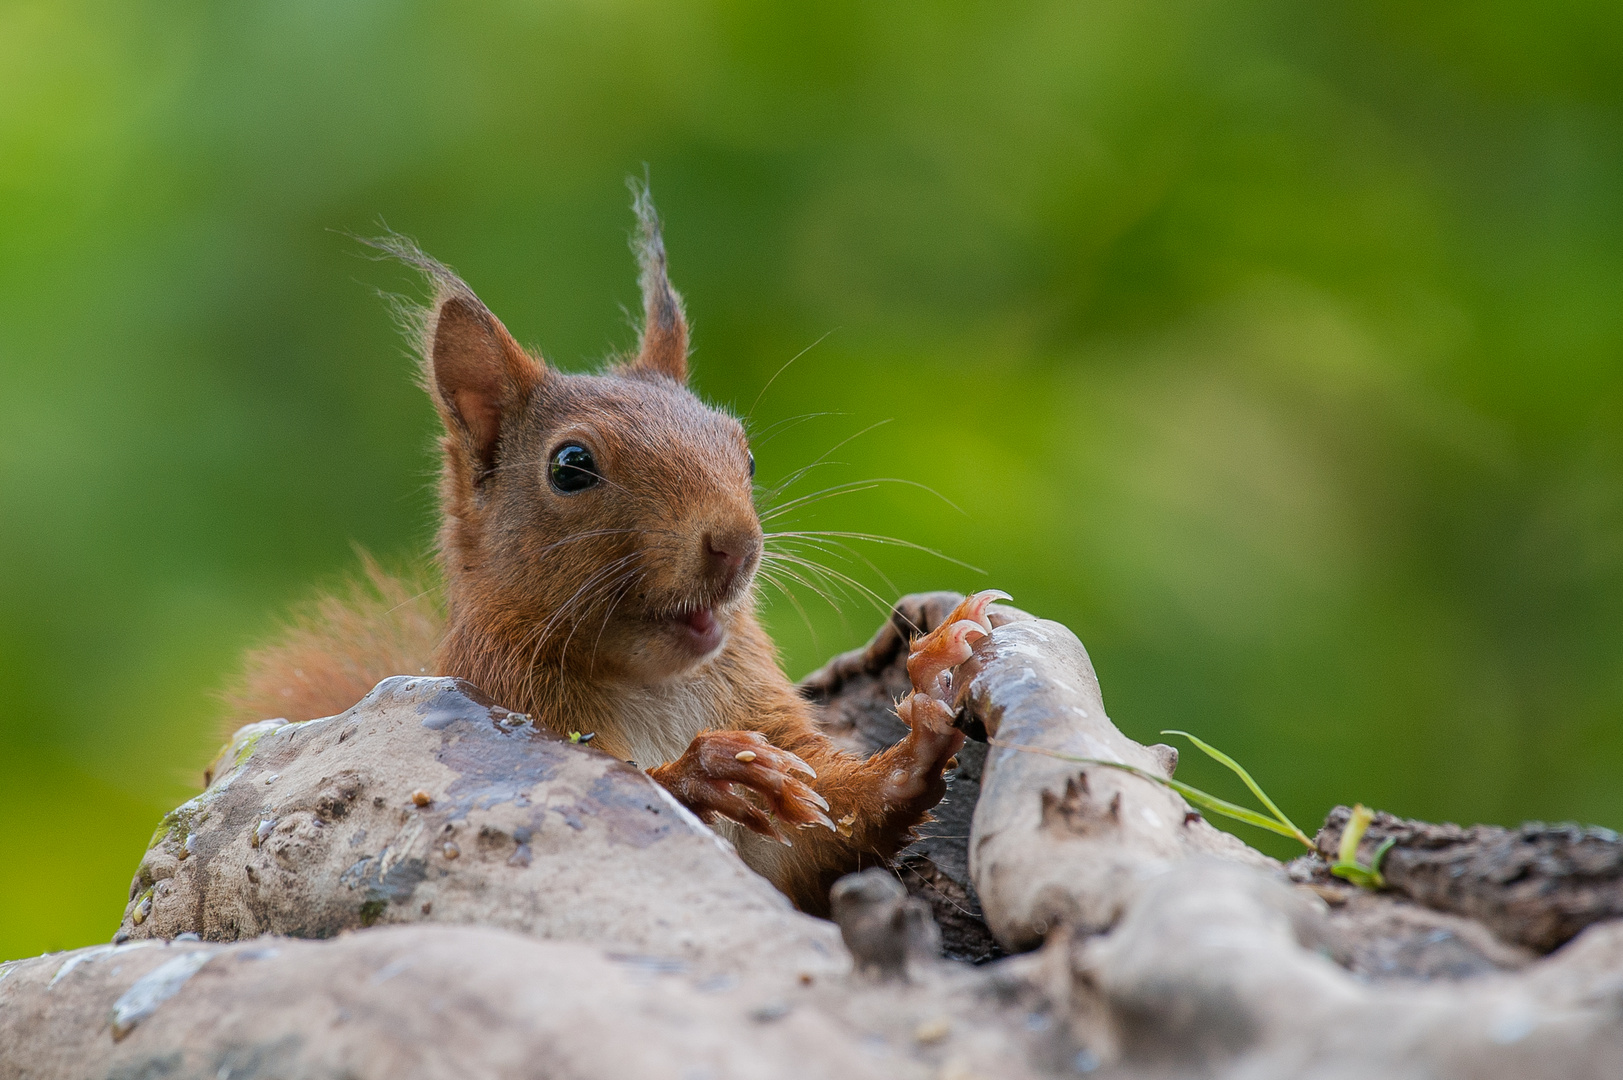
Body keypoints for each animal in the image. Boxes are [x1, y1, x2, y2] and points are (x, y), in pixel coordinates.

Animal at [220, 185, 993, 909]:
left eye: (744, 454)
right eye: (570, 467)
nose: (736, 545)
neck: (653, 686)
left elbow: (833, 825)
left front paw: (932, 693)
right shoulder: (516, 706)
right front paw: (711, 770)